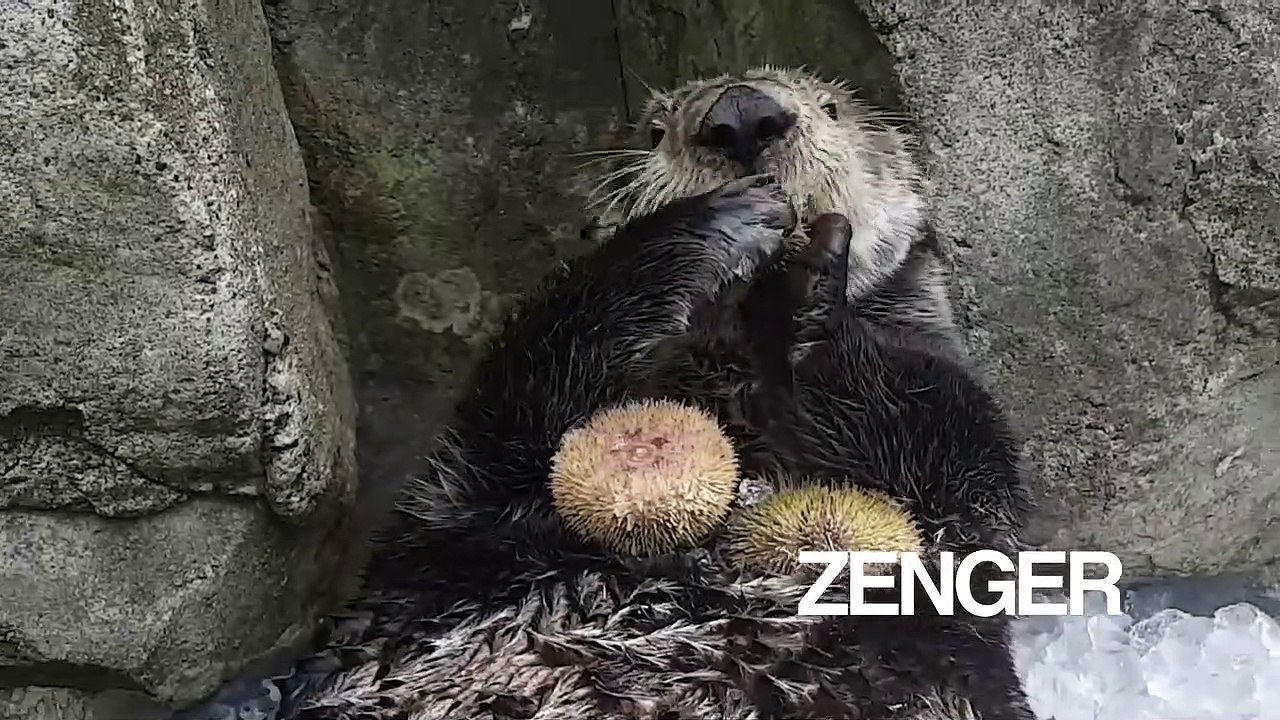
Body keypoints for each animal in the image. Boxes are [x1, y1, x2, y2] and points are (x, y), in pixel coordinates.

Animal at [177, 69, 1035, 720]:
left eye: (831, 108)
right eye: (653, 128)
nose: (741, 116)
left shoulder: (955, 488)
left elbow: (955, 446)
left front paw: (814, 285)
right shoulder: (466, 499)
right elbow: (538, 376)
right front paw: (724, 224)